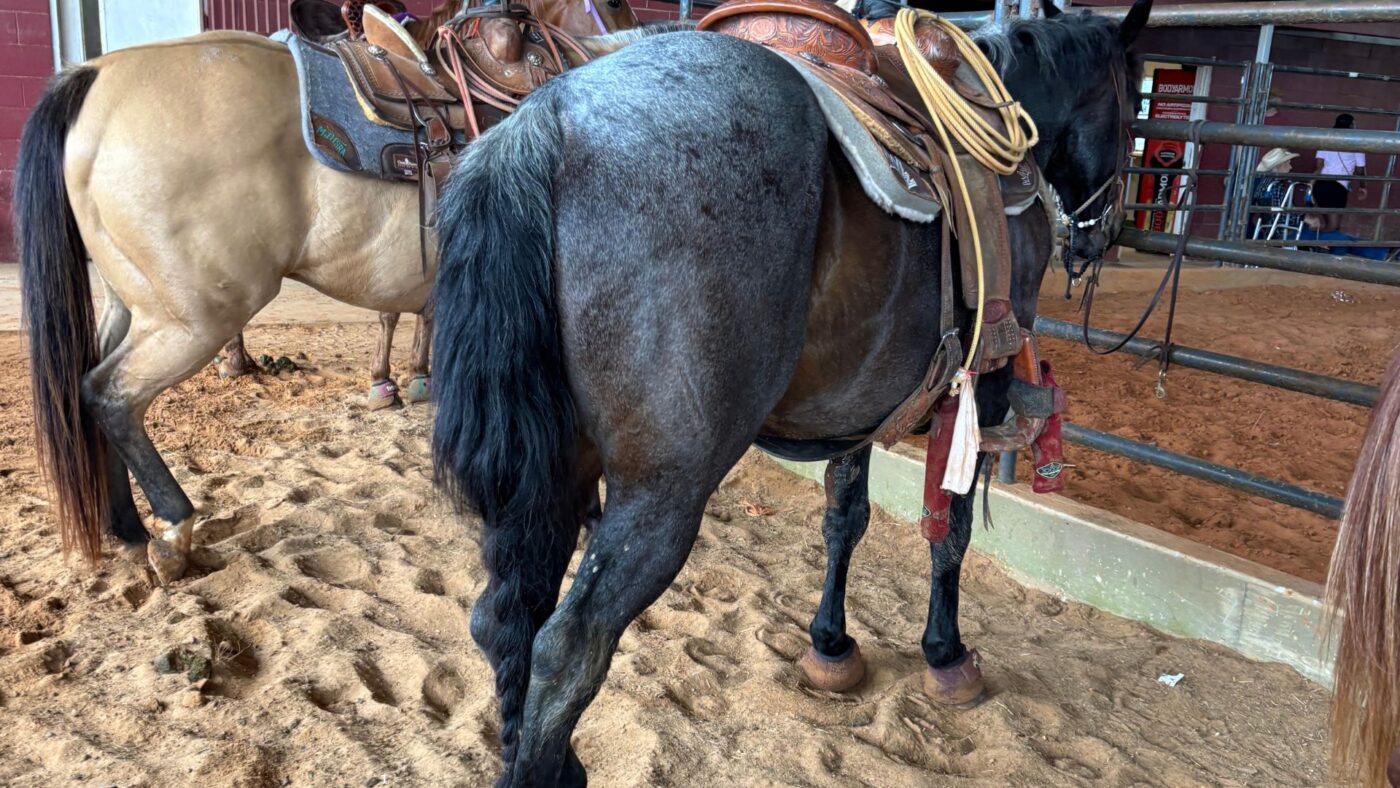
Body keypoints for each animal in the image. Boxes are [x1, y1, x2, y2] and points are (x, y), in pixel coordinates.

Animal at [12, 0, 638, 586]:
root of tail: (95, 76)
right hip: (193, 319)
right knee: (109, 395)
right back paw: (170, 532)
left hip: (134, 302)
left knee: (88, 388)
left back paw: (127, 529)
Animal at [429, 1, 1150, 784]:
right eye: (1132, 107)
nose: (1102, 235)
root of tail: (547, 117)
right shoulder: (977, 391)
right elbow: (949, 527)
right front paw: (946, 654)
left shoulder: (862, 400)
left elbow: (845, 516)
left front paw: (831, 644)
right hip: (661, 491)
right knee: (567, 648)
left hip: (550, 476)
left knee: (506, 619)